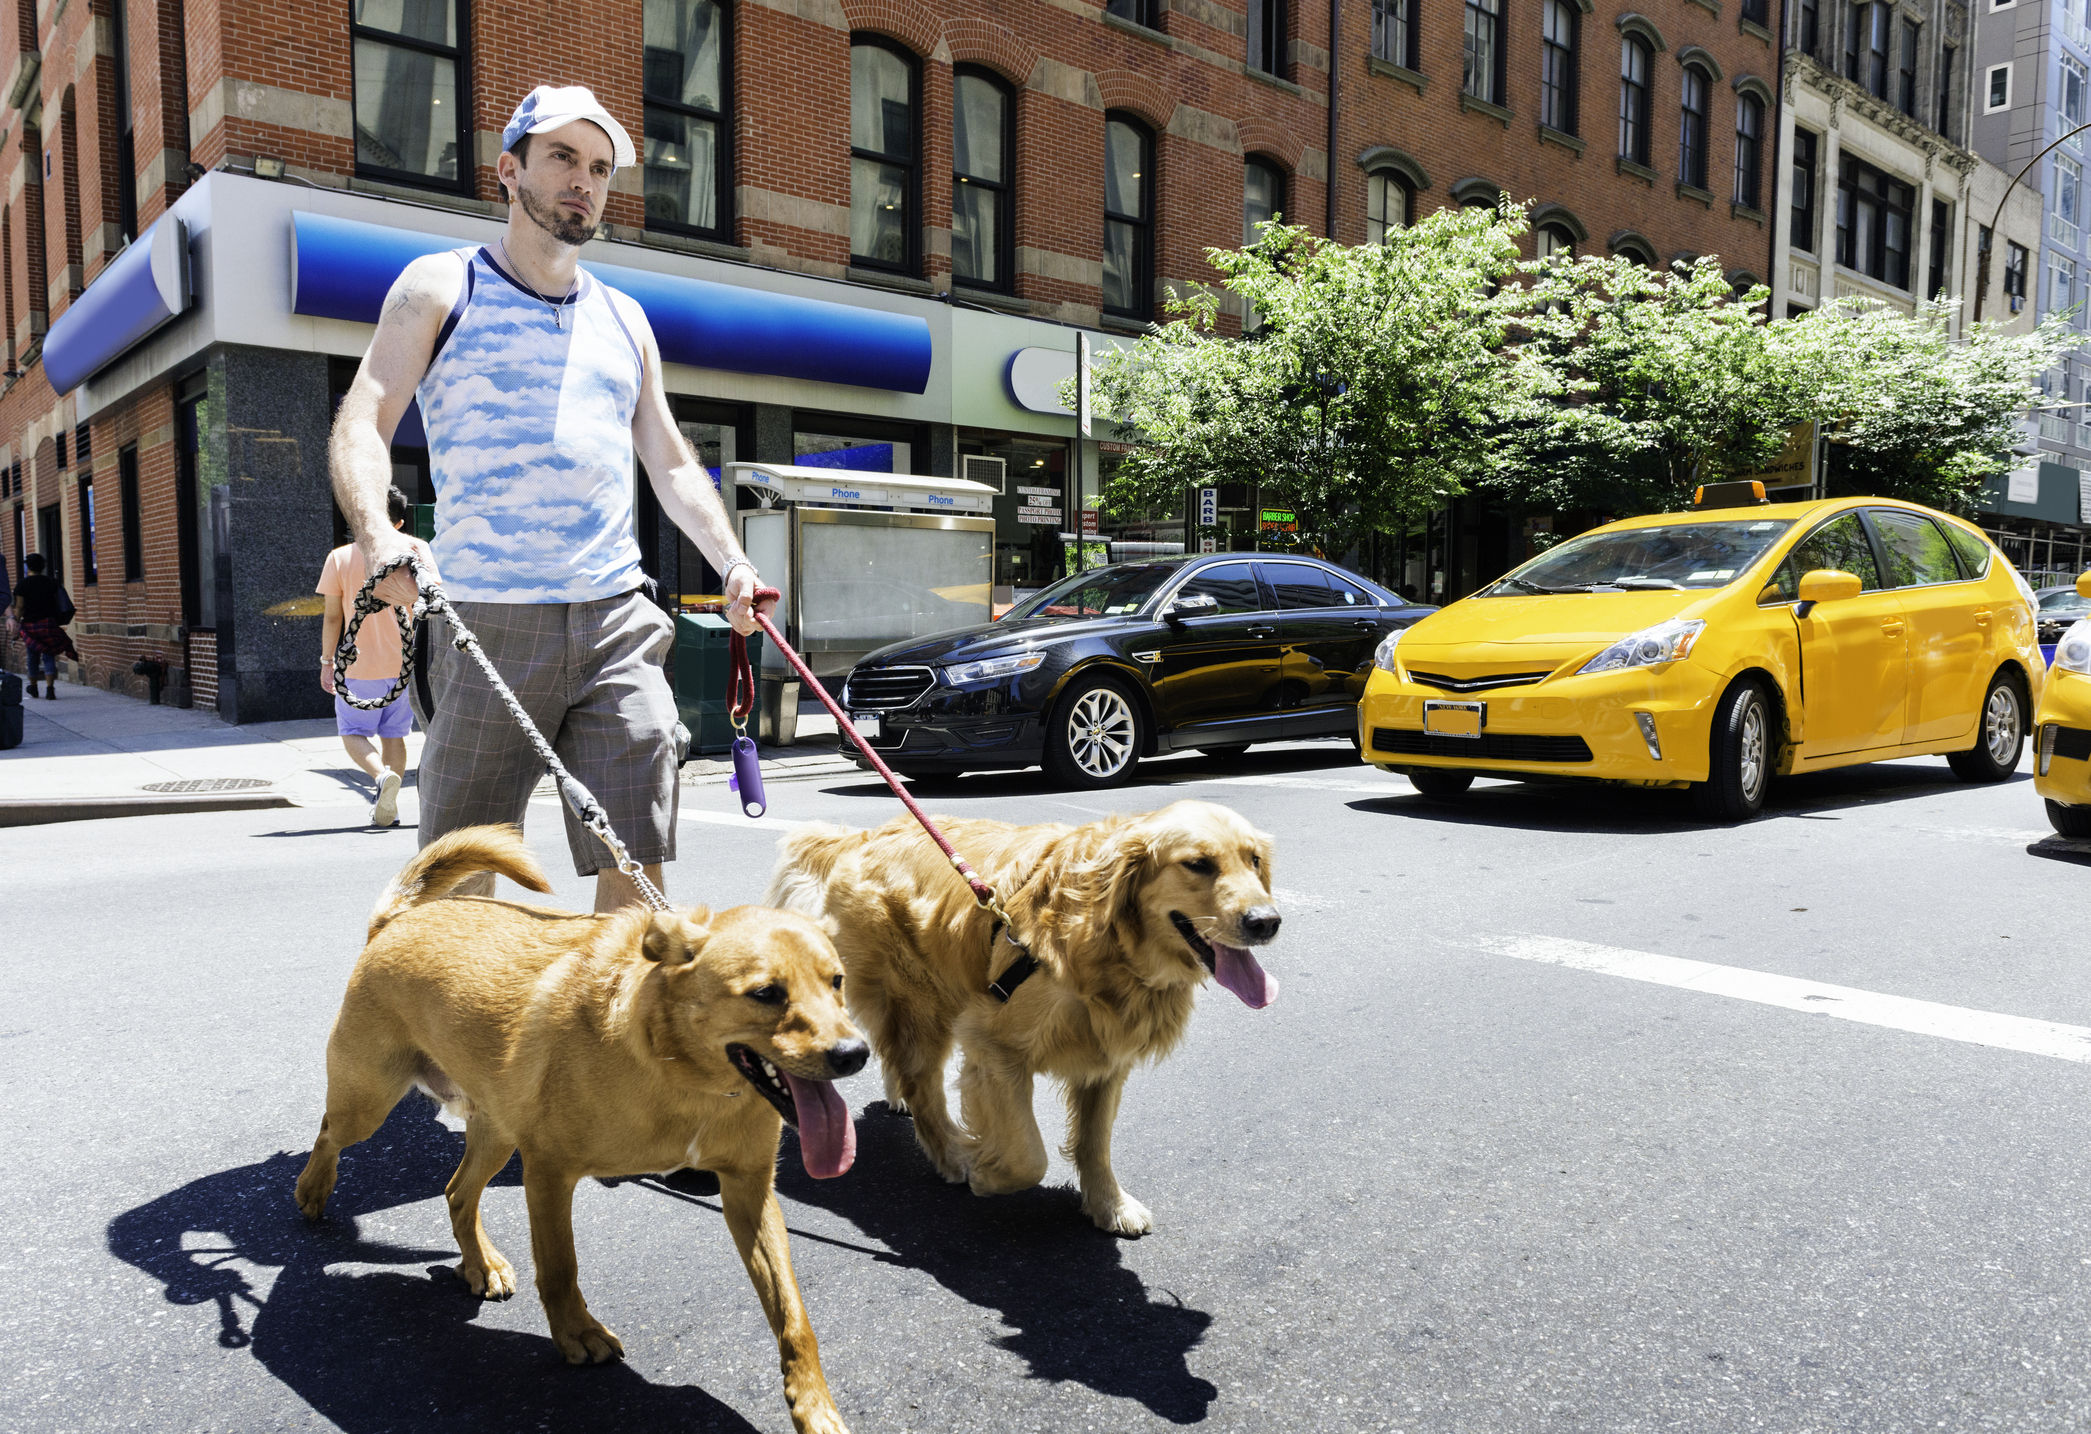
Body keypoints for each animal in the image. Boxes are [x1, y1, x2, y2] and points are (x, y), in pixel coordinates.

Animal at [290, 827, 861, 1434]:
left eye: (837, 982)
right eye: (766, 993)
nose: (855, 1055)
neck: (682, 1076)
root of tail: (397, 920)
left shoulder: (749, 1191)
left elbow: (792, 1315)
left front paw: (814, 1404)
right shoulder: (548, 1173)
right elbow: (561, 1266)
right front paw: (576, 1334)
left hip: (497, 1132)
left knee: (457, 1192)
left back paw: (479, 1264)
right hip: (368, 1103)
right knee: (329, 1133)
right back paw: (314, 1189)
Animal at [773, 798, 1271, 1237]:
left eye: (1254, 861)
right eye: (1198, 864)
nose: (1267, 921)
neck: (1102, 937)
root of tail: (863, 836)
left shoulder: (1107, 1058)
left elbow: (1095, 1142)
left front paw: (1109, 1205)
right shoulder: (994, 1044)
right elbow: (1028, 1156)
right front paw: (986, 1172)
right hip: (920, 1000)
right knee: (922, 1083)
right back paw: (951, 1155)